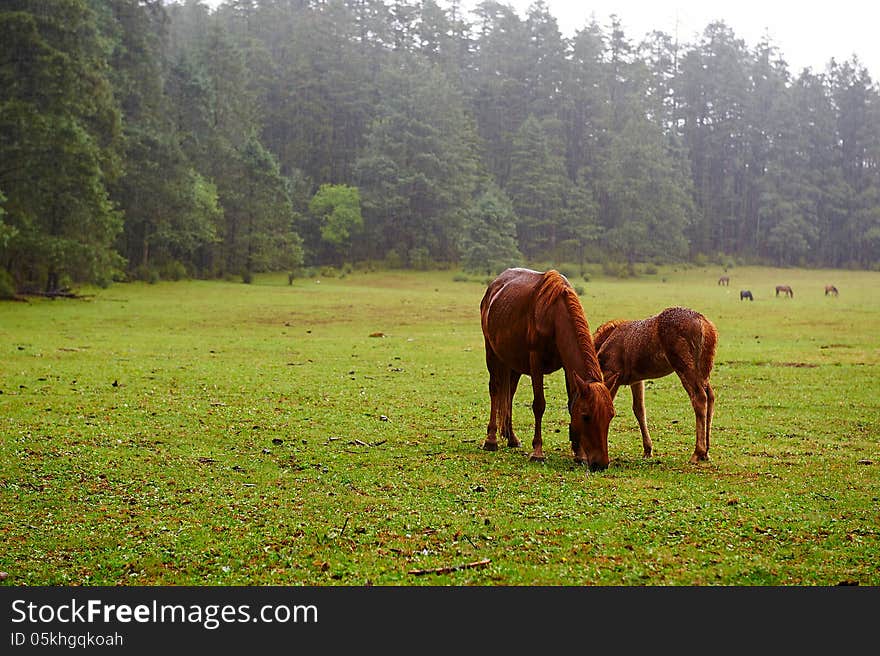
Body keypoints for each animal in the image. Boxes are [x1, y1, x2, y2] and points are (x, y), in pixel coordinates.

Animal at [478, 270, 616, 468]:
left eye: (610, 416)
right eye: (586, 416)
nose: (601, 464)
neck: (554, 316)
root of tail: (494, 287)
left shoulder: (567, 367)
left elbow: (571, 402)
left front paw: (579, 454)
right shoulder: (535, 361)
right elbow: (539, 405)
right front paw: (537, 451)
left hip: (514, 361)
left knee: (509, 393)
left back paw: (512, 438)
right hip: (491, 351)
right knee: (495, 390)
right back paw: (491, 439)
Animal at [596, 308, 720, 466]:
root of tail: (704, 324)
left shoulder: (612, 374)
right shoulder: (636, 380)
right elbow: (639, 410)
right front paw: (647, 450)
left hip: (684, 368)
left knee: (699, 397)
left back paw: (697, 453)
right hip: (703, 372)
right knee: (710, 396)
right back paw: (706, 452)